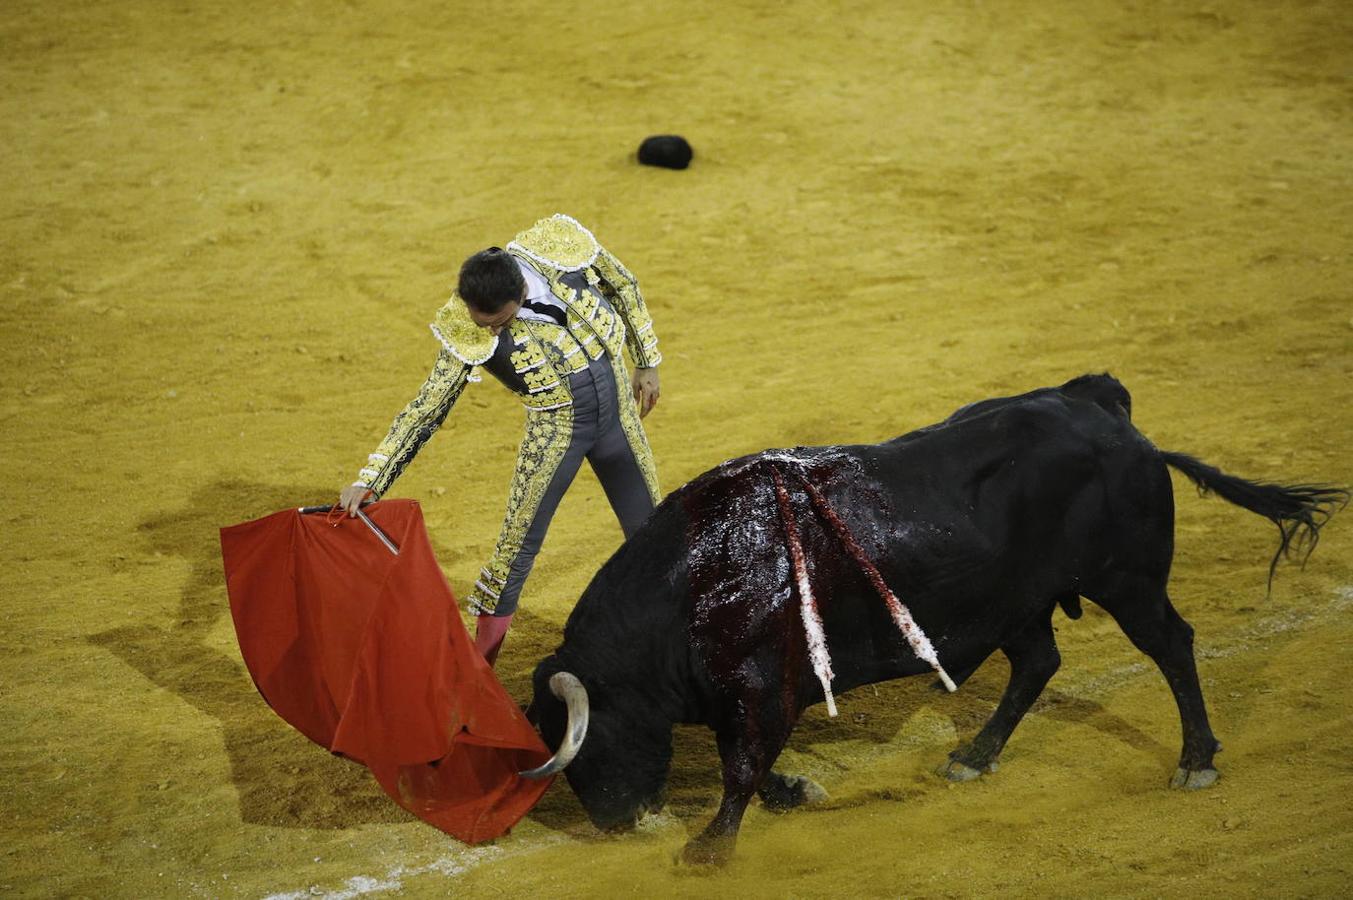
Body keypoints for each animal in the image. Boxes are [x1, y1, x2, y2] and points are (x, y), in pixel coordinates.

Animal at [524, 373, 1342, 866]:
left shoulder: (758, 689)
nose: (614, 823)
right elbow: (753, 763)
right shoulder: (752, 696)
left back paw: (1196, 760)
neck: (696, 581)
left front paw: (709, 850)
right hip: (1016, 603)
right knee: (1038, 662)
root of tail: (1100, 405)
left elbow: (743, 766)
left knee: (1171, 645)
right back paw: (973, 756)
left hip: (1127, 581)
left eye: (586, 747)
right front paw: (789, 797)